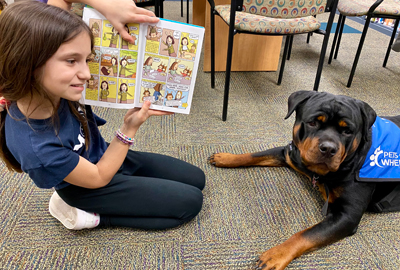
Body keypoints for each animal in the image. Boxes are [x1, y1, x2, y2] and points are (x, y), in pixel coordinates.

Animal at [209, 91, 400, 270]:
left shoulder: (347, 216)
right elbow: (255, 155)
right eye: (313, 123)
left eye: (347, 131)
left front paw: (276, 255)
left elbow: (305, 235)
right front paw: (226, 157)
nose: (328, 148)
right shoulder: (290, 153)